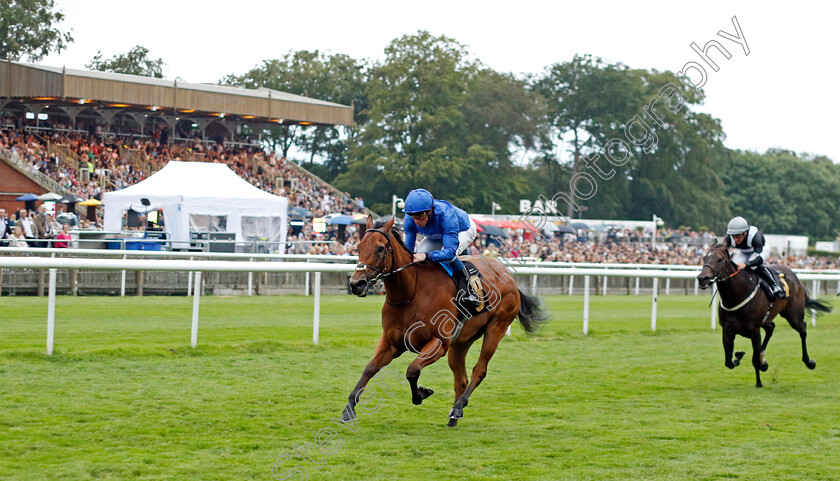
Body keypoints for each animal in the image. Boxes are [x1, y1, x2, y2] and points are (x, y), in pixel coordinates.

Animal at [342, 216, 552, 426]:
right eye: (358, 247)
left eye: (380, 248)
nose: (356, 283)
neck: (411, 293)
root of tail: (509, 276)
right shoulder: (391, 341)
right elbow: (370, 368)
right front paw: (349, 408)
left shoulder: (439, 344)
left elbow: (412, 370)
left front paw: (422, 393)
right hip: (461, 342)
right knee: (461, 378)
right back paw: (453, 417)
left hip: (496, 328)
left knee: (479, 370)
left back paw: (458, 407)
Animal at [696, 244, 832, 386]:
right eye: (704, 257)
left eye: (720, 259)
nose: (702, 278)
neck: (737, 295)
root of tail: (795, 278)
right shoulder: (727, 330)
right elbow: (728, 362)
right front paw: (739, 356)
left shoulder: (755, 331)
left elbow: (754, 358)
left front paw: (758, 382)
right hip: (768, 319)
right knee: (771, 327)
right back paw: (763, 361)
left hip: (794, 316)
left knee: (803, 330)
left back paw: (809, 361)